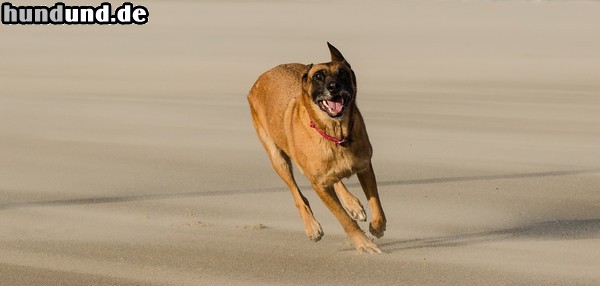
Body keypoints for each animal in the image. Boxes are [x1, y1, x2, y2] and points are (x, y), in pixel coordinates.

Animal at [247, 42, 384, 252]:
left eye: (343, 73)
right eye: (318, 76)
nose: (333, 86)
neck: (336, 135)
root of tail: (263, 76)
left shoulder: (365, 167)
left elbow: (376, 203)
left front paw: (377, 227)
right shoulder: (318, 185)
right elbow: (344, 219)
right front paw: (364, 244)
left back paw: (352, 204)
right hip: (278, 158)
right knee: (298, 195)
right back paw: (312, 227)